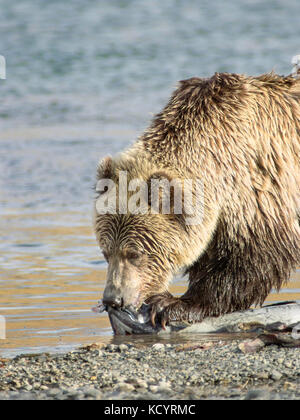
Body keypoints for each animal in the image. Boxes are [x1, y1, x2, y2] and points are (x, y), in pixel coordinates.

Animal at [94, 71, 300, 328]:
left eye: (134, 253)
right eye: (105, 252)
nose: (112, 299)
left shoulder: (261, 185)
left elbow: (255, 254)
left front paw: (171, 304)